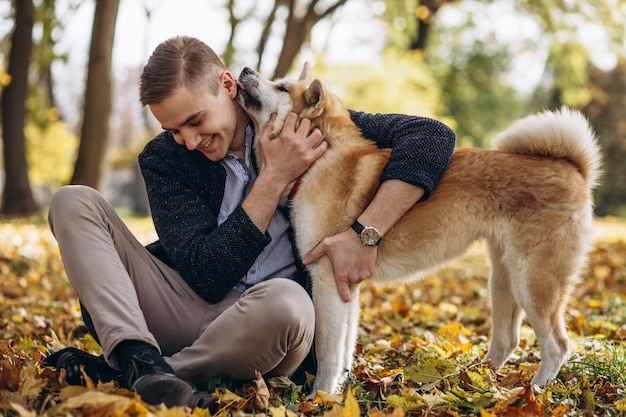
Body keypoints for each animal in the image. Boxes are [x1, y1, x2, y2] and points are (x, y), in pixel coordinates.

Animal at [233, 62, 600, 394]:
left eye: (282, 87)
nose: (246, 69)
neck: (321, 160)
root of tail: (573, 169)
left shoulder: (327, 278)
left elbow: (327, 353)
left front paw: (321, 397)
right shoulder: (347, 285)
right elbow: (345, 348)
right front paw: (340, 389)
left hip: (532, 282)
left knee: (557, 346)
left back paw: (533, 392)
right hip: (503, 277)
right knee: (507, 340)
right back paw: (476, 383)